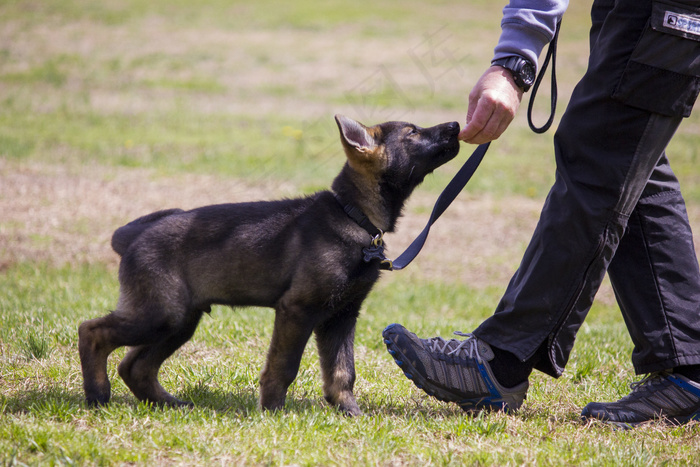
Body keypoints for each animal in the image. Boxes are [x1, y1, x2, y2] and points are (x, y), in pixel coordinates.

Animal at [79, 115, 462, 414]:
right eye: (412, 132)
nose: (456, 125)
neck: (353, 215)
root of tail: (131, 238)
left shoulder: (342, 316)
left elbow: (342, 371)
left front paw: (349, 412)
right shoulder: (297, 310)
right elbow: (284, 366)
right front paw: (272, 410)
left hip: (179, 320)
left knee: (135, 366)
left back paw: (168, 403)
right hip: (161, 314)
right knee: (92, 331)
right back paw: (97, 395)